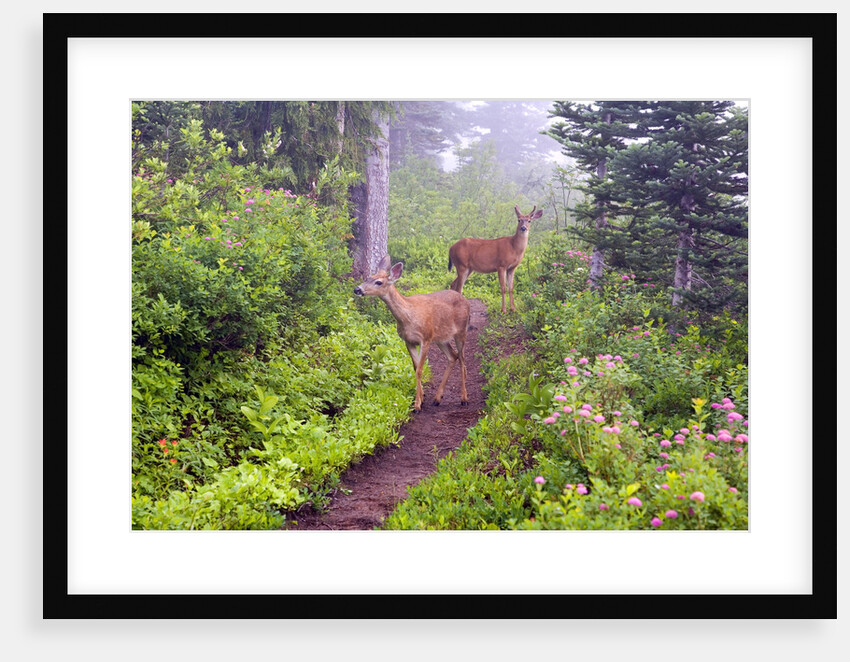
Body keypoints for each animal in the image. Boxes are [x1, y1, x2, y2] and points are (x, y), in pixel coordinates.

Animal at [354, 254, 470, 412]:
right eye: (368, 277)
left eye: (378, 282)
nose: (357, 289)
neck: (408, 317)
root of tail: (466, 301)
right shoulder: (408, 340)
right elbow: (415, 368)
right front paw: (421, 399)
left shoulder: (425, 338)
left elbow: (420, 370)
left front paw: (417, 405)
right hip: (441, 338)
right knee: (453, 356)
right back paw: (437, 398)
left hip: (461, 332)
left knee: (463, 359)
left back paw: (464, 398)